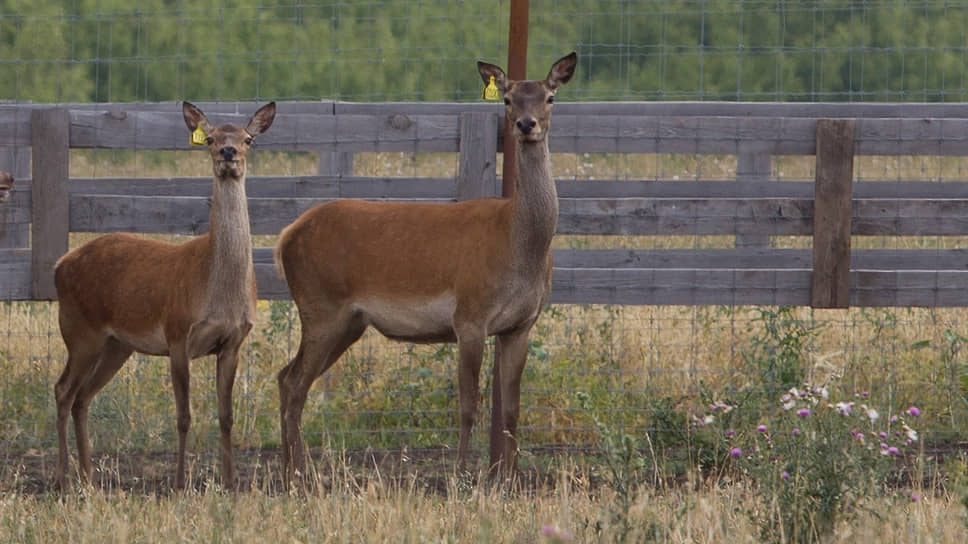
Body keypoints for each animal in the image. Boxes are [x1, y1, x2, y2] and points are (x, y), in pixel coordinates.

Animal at [54, 101, 276, 488]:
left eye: (248, 139)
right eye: (211, 139)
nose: (228, 152)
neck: (217, 292)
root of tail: (59, 265)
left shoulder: (233, 342)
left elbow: (226, 415)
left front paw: (230, 483)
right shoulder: (177, 335)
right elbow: (183, 416)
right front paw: (179, 483)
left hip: (116, 344)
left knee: (82, 397)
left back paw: (90, 478)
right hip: (79, 330)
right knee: (63, 390)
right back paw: (65, 478)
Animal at [272, 53, 576, 482]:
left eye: (550, 97)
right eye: (507, 99)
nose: (526, 124)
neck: (520, 245)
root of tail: (285, 237)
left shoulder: (521, 325)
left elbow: (513, 410)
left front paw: (510, 479)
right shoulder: (469, 315)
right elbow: (468, 406)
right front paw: (462, 476)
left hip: (348, 322)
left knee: (287, 378)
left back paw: (293, 473)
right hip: (320, 306)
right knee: (295, 383)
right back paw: (301, 476)